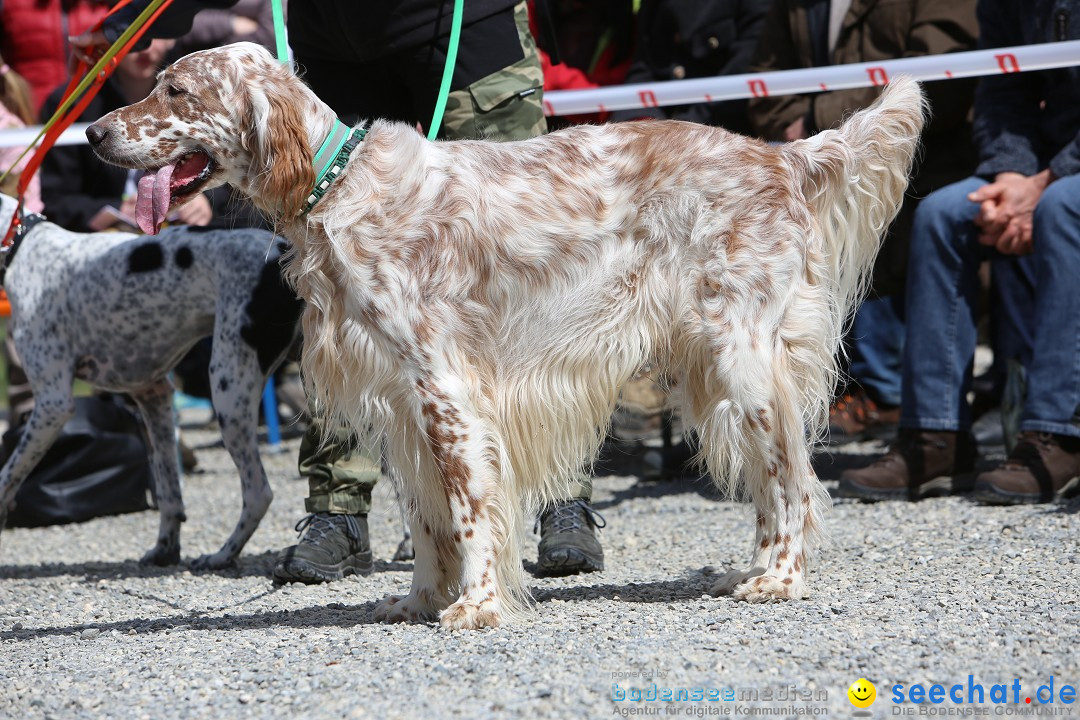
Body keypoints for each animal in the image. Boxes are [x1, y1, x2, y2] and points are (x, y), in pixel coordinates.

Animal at [0, 194, 304, 569]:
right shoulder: (153, 395)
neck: (22, 243)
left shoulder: (52, 404)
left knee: (258, 492)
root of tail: (282, 250)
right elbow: (169, 490)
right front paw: (165, 548)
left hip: (229, 392)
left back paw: (223, 554)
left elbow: (6, 477)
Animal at [88, 43, 924, 630]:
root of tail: (781, 154)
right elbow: (425, 518)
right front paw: (422, 600)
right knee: (771, 480)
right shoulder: (399, 401)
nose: (94, 131)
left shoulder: (447, 389)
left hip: (741, 361)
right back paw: (743, 572)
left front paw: (478, 605)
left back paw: (780, 579)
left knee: (794, 480)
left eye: (176, 90)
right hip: (714, 373)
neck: (340, 188)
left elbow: (468, 507)